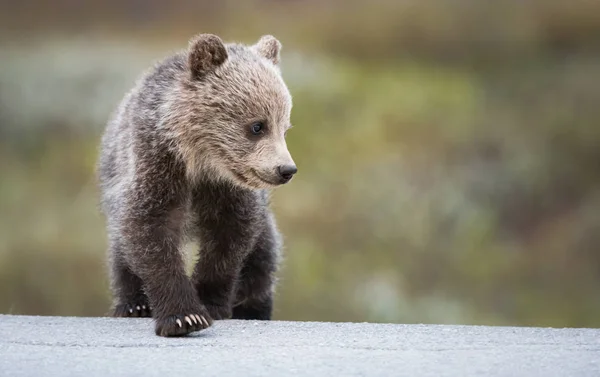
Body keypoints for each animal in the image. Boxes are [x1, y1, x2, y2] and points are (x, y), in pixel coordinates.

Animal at [95, 33, 298, 336]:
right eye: (257, 126)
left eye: (284, 128)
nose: (286, 169)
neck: (200, 163)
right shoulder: (156, 163)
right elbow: (149, 231)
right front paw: (183, 316)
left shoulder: (228, 191)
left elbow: (230, 238)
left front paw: (210, 302)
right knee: (121, 249)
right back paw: (132, 304)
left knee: (264, 256)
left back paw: (253, 306)